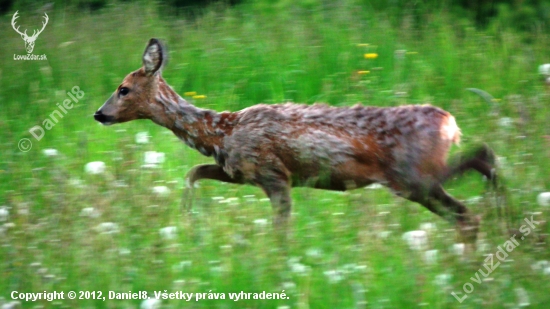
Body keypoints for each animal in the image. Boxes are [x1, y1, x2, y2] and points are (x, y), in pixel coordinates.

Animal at [95, 38, 500, 244]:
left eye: (123, 88)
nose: (99, 114)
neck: (222, 131)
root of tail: (450, 123)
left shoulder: (274, 174)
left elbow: (281, 229)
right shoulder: (240, 171)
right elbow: (194, 172)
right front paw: (186, 215)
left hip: (411, 176)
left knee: (473, 192)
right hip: (417, 179)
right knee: (474, 191)